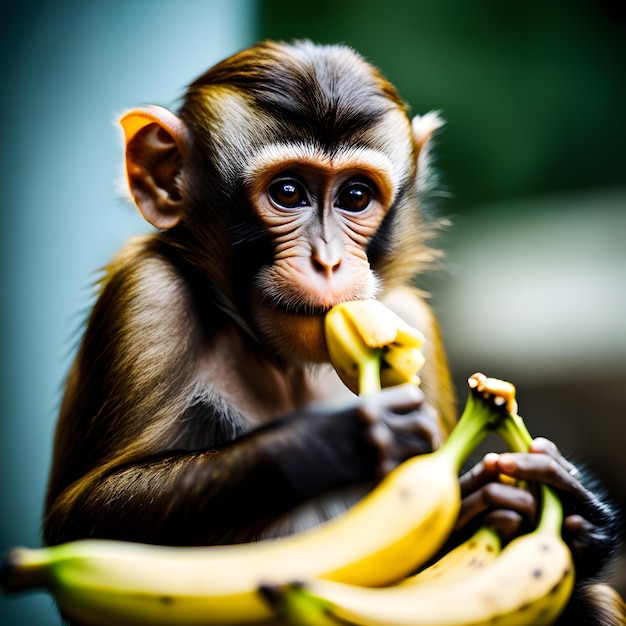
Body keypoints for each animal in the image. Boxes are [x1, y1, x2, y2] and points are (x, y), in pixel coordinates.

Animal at [42, 41, 620, 620]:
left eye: (356, 197)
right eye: (288, 192)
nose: (328, 261)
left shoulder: (412, 317)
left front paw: (558, 512)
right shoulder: (147, 294)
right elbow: (82, 520)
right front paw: (331, 442)